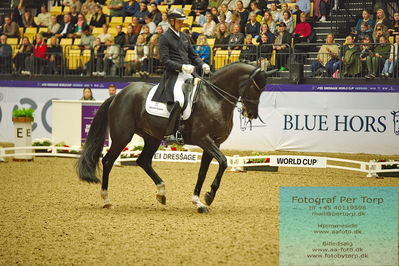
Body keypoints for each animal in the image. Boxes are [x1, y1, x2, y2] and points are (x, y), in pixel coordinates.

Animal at [77, 61, 276, 213]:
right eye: (255, 87)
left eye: (263, 90)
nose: (251, 114)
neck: (215, 98)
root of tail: (119, 94)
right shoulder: (204, 140)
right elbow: (224, 162)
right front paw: (209, 196)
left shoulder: (213, 143)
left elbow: (203, 172)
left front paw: (199, 202)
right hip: (122, 136)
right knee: (108, 161)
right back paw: (106, 200)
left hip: (152, 137)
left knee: (143, 161)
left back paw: (161, 193)